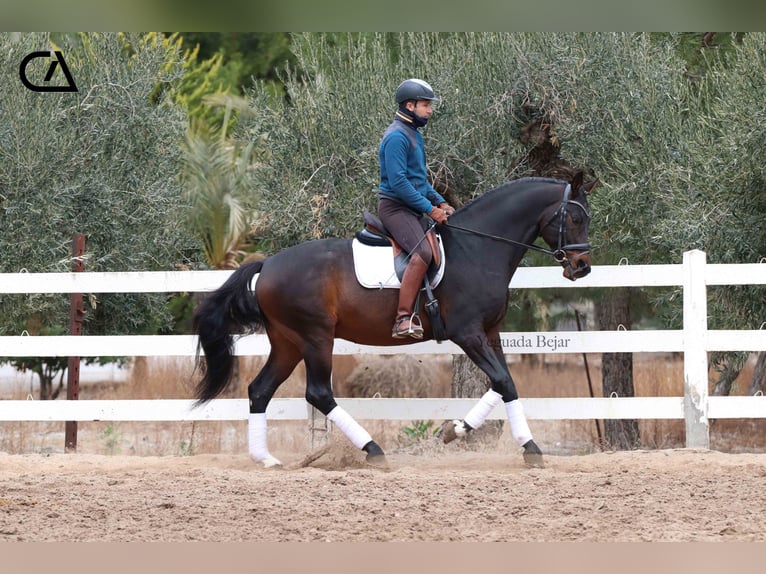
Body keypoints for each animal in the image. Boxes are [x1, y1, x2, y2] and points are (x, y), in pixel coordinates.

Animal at [192, 170, 600, 468]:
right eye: (575, 217)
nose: (581, 267)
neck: (478, 248)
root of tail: (268, 265)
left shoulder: (490, 333)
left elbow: (505, 384)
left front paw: (481, 435)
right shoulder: (467, 333)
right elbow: (503, 381)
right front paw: (489, 440)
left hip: (288, 342)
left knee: (259, 390)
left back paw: (265, 459)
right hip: (315, 338)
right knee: (318, 392)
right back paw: (373, 451)